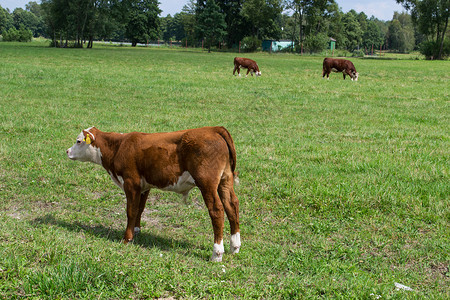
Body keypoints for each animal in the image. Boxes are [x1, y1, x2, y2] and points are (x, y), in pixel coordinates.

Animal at [66, 125, 239, 262]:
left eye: (78, 141)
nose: (67, 151)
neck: (119, 146)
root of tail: (213, 129)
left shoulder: (131, 183)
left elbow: (131, 211)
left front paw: (127, 238)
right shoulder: (144, 186)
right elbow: (140, 209)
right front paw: (136, 231)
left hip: (207, 183)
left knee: (217, 210)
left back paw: (217, 253)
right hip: (225, 180)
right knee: (232, 205)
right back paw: (235, 246)